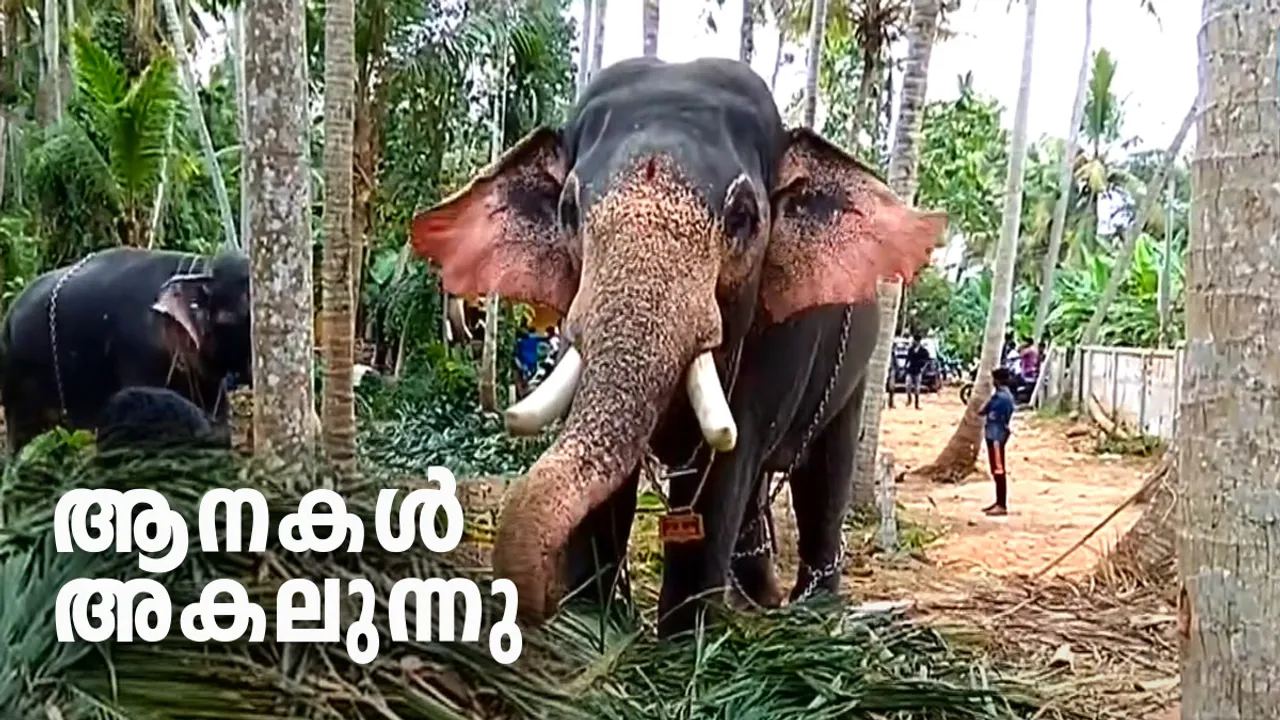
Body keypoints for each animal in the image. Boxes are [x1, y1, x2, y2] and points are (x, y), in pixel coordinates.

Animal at [410, 57, 946, 637]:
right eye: (569, 210)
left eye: (743, 217)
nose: (542, 600)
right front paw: (591, 627)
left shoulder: (776, 340)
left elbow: (725, 466)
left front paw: (683, 640)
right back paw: (758, 596)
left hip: (858, 368)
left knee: (824, 471)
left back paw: (811, 612)